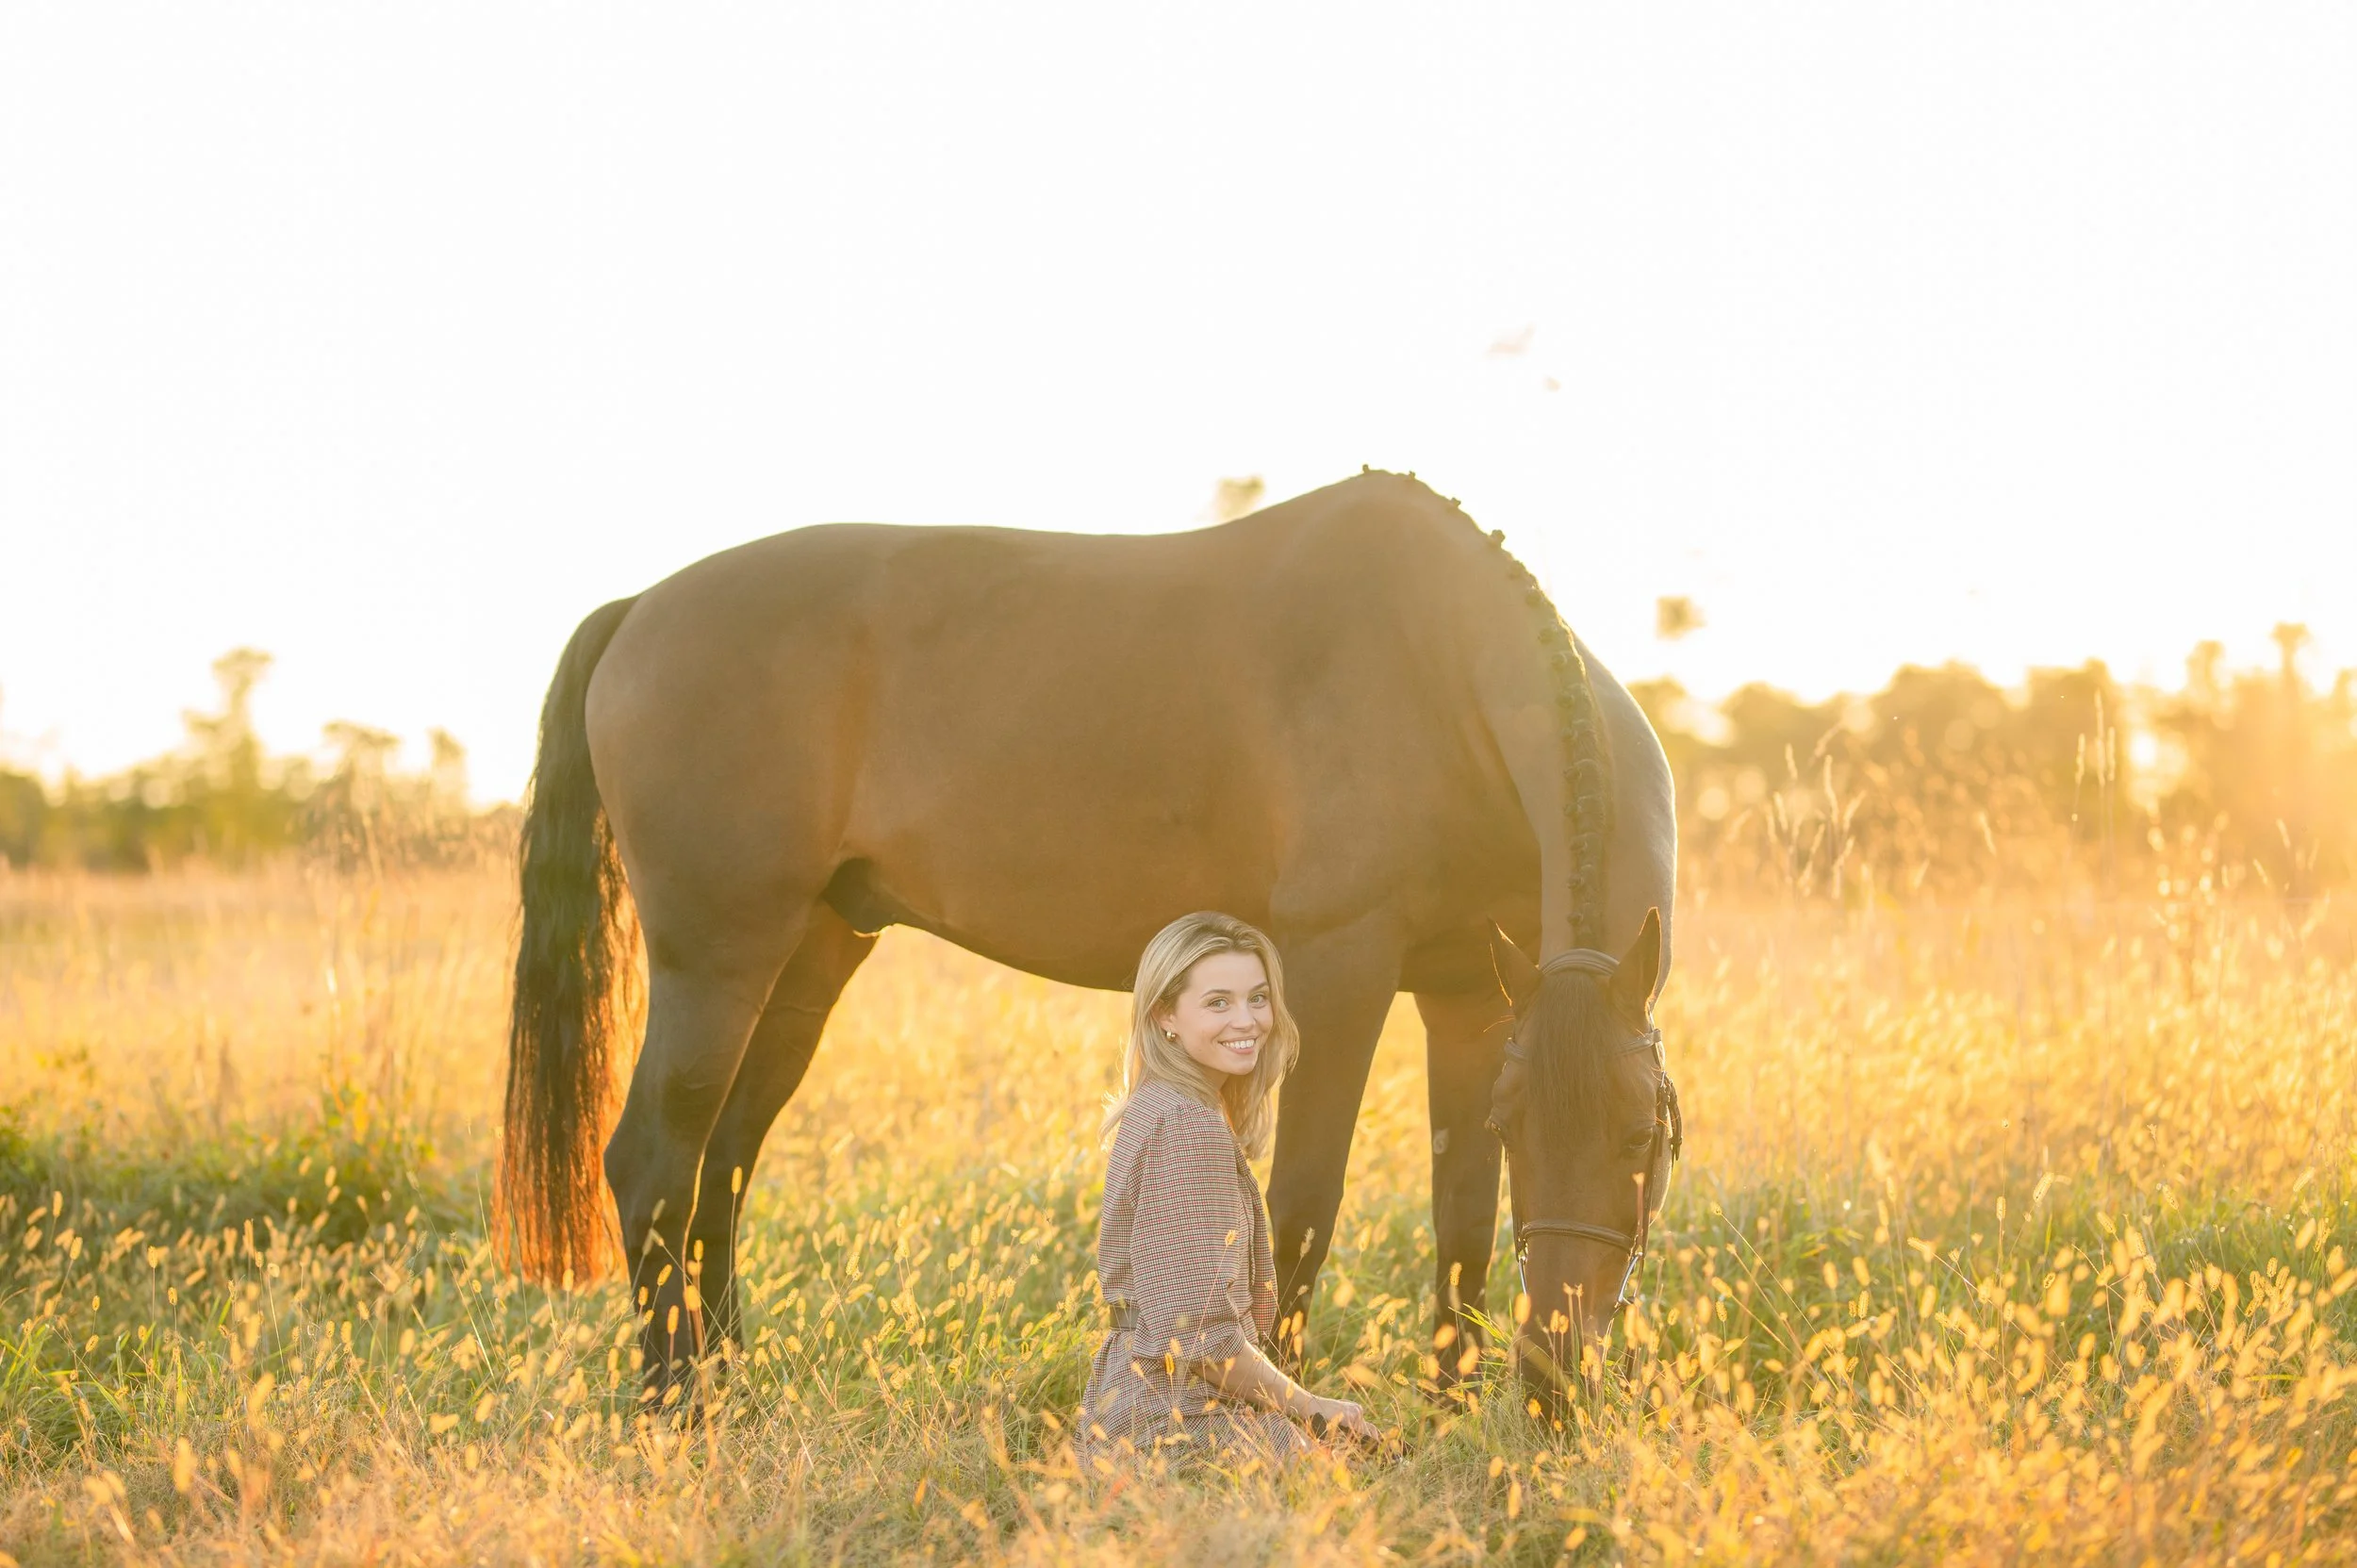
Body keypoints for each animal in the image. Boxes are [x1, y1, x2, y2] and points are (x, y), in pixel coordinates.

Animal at [497, 469, 1680, 1406]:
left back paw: (735, 1388)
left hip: (810, 960)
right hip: (717, 961)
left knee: (725, 1164)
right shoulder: (1337, 974)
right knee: (656, 1159)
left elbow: (1462, 1223)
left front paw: (1449, 1408)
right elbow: (1299, 1210)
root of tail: (640, 607)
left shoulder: (1470, 999)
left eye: (1639, 1135)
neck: (1441, 679)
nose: (1554, 1379)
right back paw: (679, 1407)